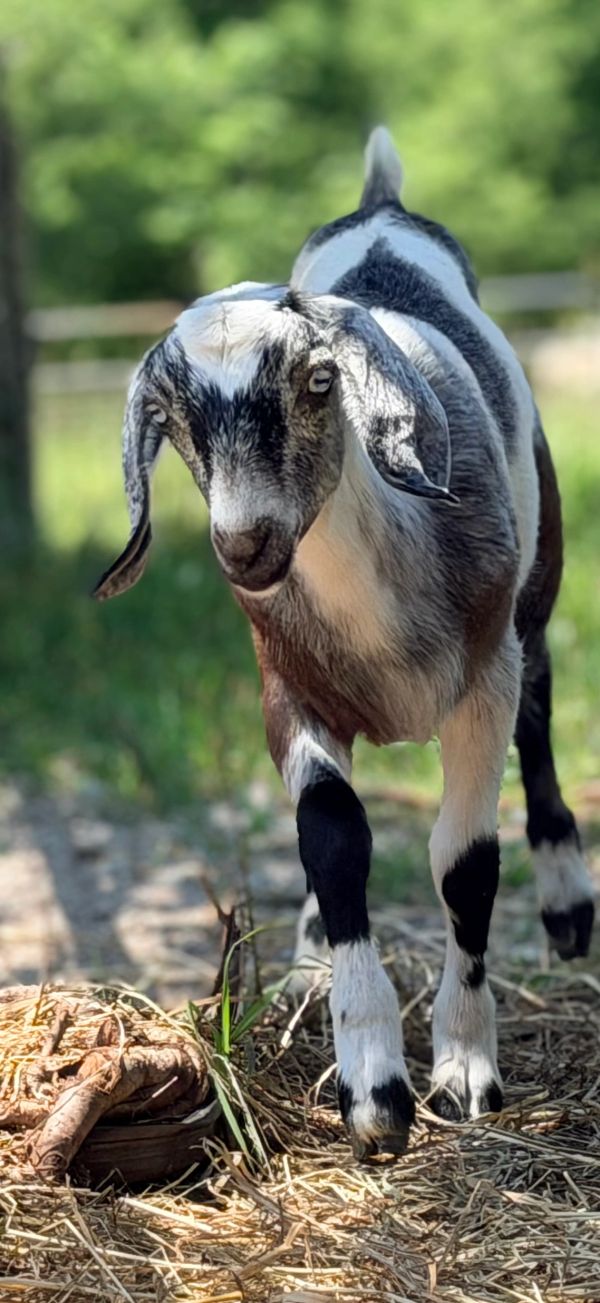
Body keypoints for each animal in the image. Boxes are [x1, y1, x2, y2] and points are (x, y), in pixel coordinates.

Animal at [95, 127, 595, 1159]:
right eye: (174, 418)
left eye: (319, 381)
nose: (244, 544)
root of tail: (381, 206)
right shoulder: (286, 691)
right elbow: (332, 839)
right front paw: (373, 1089)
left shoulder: (481, 682)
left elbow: (464, 863)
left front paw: (465, 1068)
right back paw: (310, 962)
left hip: (539, 584)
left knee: (541, 714)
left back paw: (568, 904)